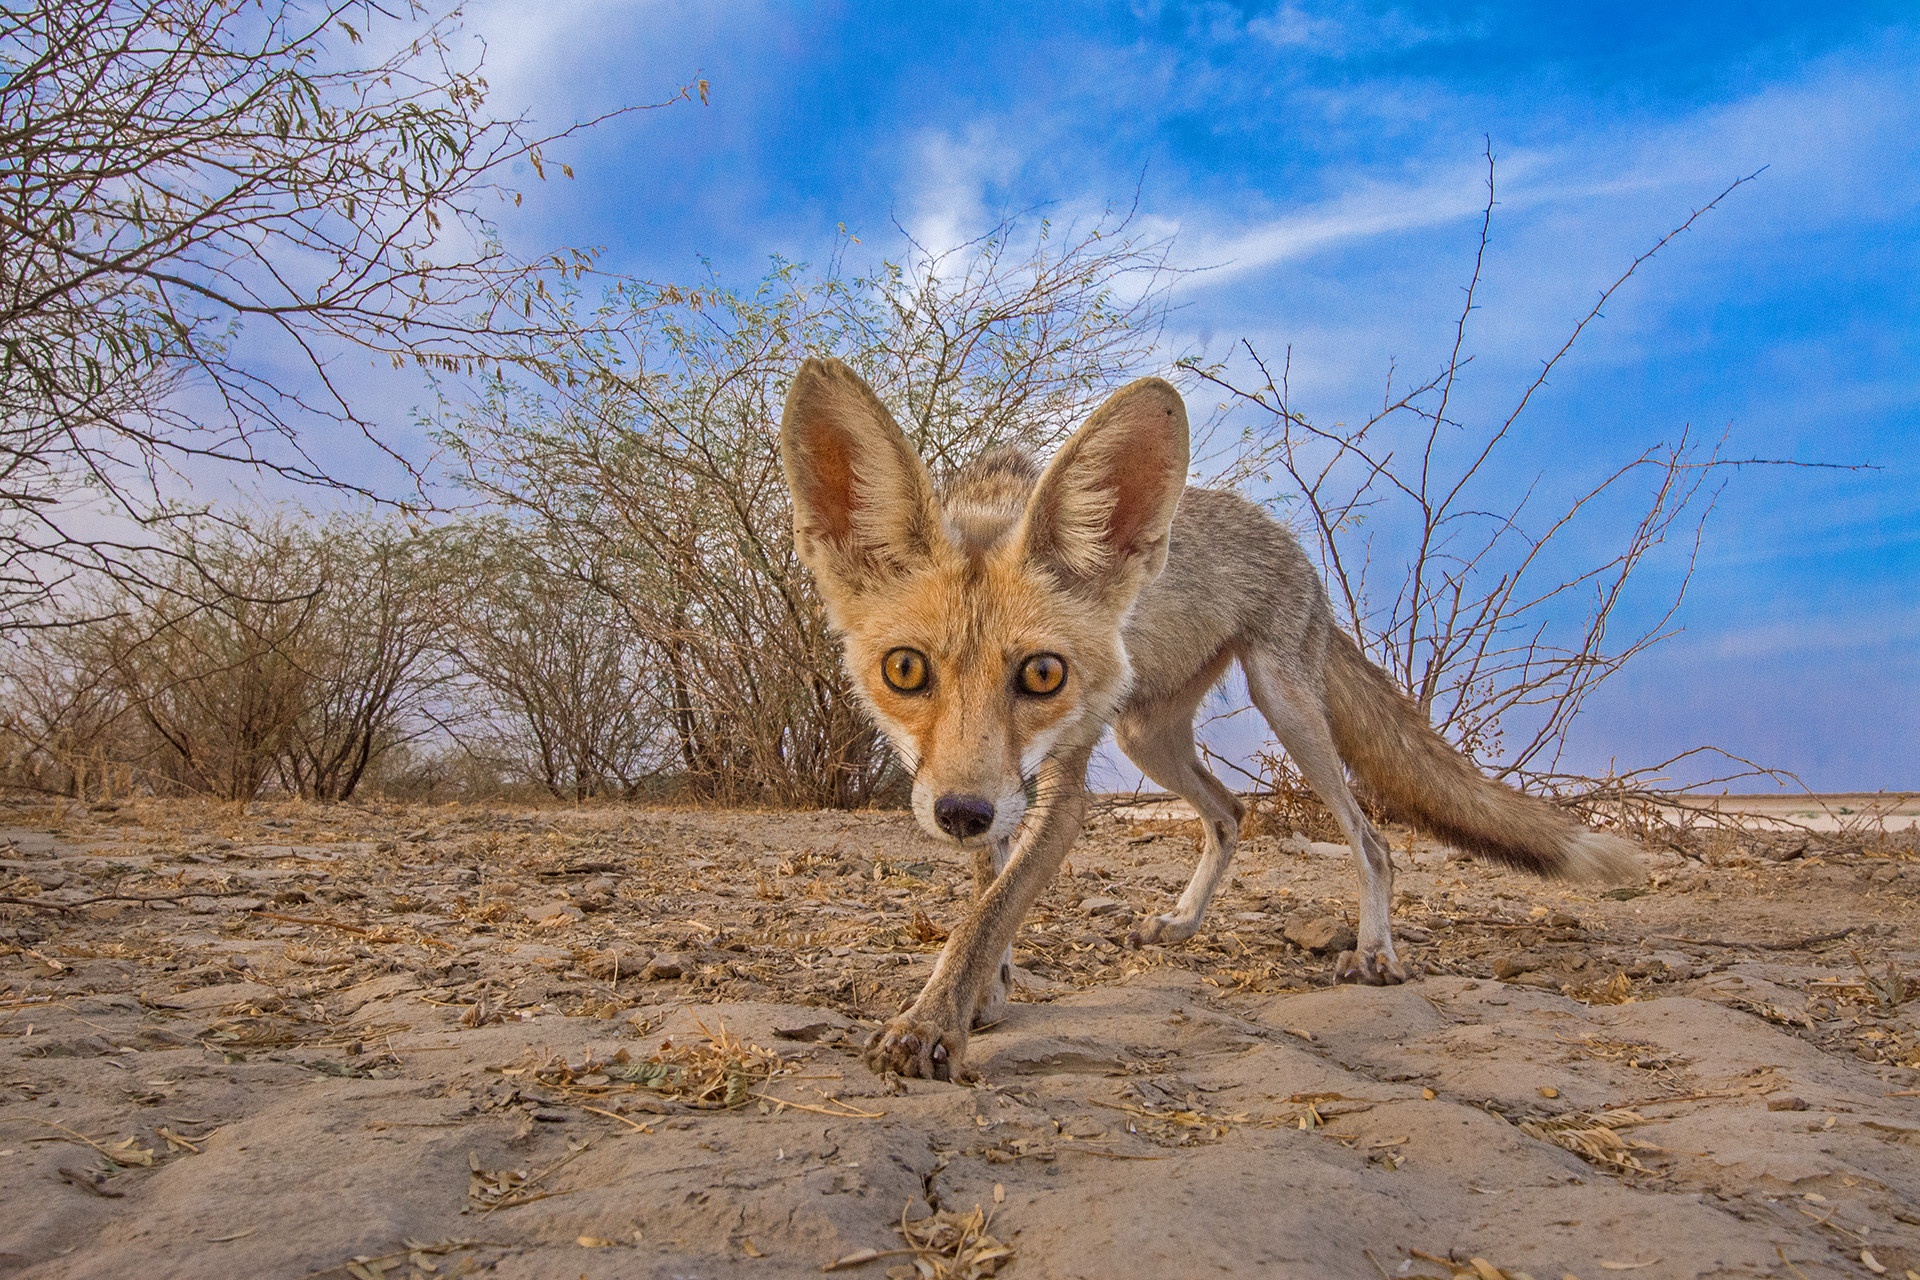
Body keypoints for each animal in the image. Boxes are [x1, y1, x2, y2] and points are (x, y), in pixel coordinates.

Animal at [779, 356, 1641, 1081]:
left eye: (1043, 675)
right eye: (905, 670)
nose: (960, 813)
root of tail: (1293, 547)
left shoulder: (1059, 790)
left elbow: (991, 910)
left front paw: (931, 1025)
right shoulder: (1001, 788)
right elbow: (984, 899)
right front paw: (983, 995)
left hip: (1287, 707)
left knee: (1373, 839)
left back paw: (1374, 953)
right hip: (1146, 735)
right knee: (1230, 813)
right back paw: (1185, 924)